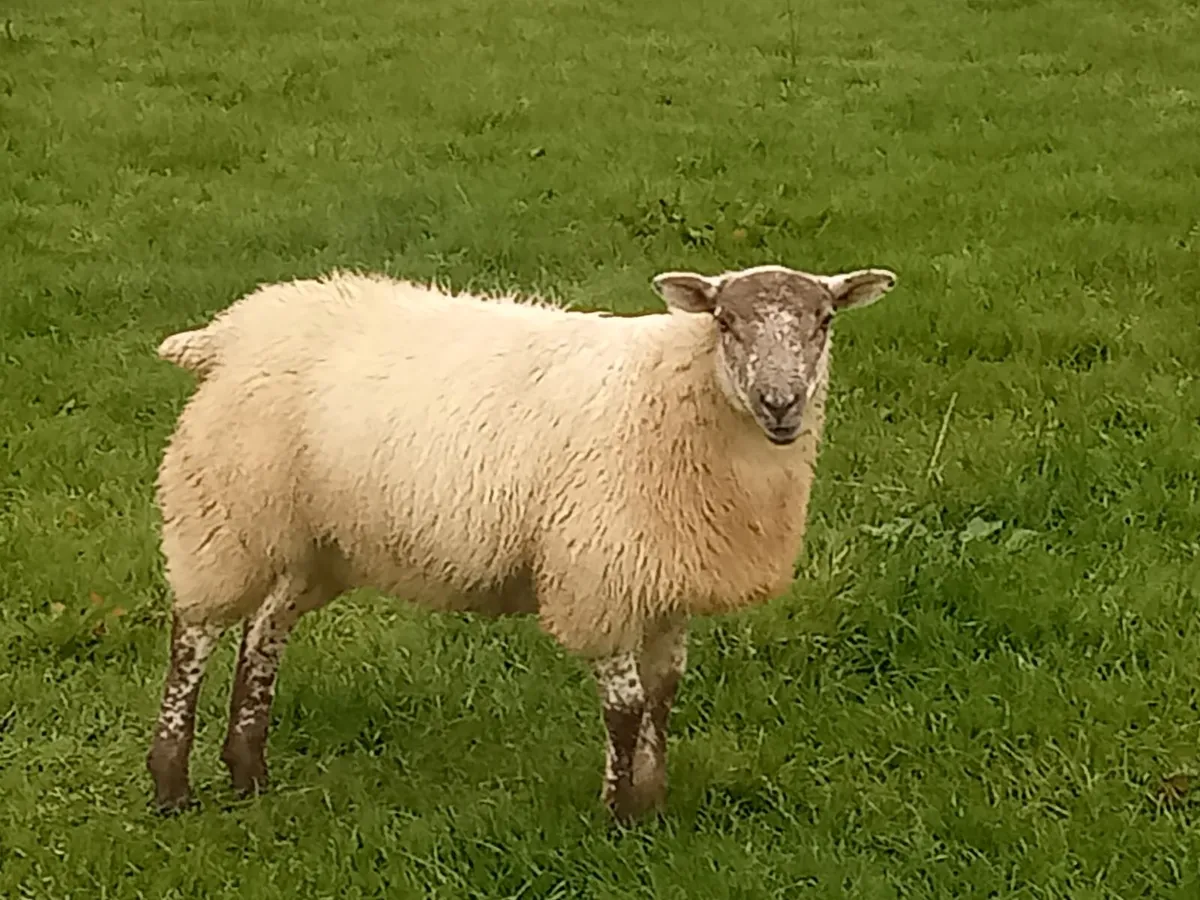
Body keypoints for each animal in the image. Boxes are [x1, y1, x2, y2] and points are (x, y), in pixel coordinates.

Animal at [145, 262, 898, 823]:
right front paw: (620, 816)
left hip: (319, 540)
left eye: (825, 322)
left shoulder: (661, 577)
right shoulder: (598, 576)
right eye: (726, 321)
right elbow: (625, 708)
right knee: (195, 634)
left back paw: (248, 772)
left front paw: (652, 801)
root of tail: (234, 329)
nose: (781, 405)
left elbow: (663, 695)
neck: (672, 388)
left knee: (264, 633)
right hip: (224, 511)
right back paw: (172, 785)